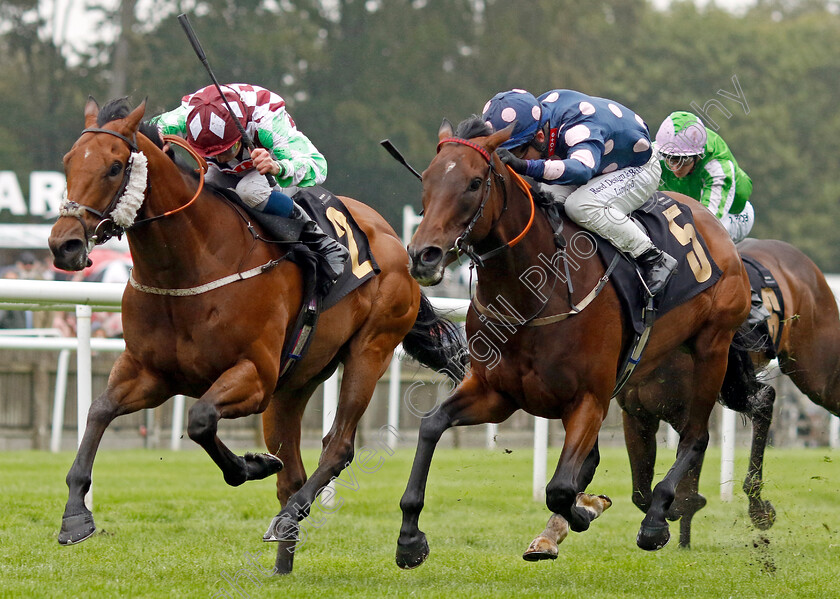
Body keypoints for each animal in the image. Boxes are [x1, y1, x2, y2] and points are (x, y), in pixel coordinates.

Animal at [616, 239, 840, 548]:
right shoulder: (636, 414)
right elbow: (640, 490)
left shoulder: (689, 410)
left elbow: (687, 473)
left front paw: (677, 521)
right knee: (764, 402)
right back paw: (756, 505)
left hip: (818, 374)